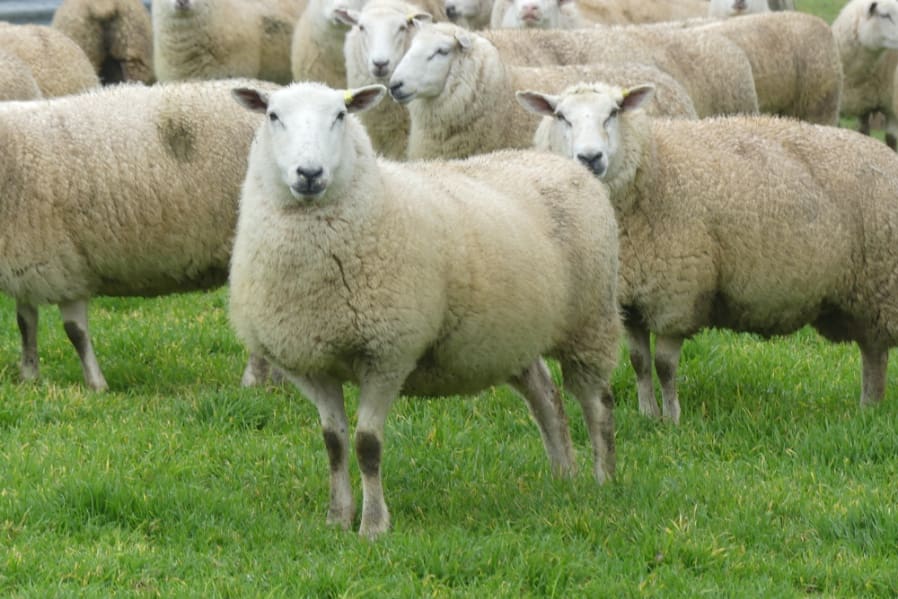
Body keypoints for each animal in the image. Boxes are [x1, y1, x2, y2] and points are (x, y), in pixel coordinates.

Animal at [0, 79, 278, 391]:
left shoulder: (65, 264)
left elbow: (75, 332)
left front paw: (96, 385)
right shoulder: (27, 261)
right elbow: (25, 323)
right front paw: (28, 377)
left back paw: (252, 382)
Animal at [229, 81, 621, 537]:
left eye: (341, 115)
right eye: (273, 115)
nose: (309, 174)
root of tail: (565, 165)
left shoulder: (388, 353)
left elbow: (366, 444)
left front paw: (373, 526)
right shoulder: (312, 362)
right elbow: (334, 443)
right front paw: (337, 518)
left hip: (590, 321)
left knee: (597, 402)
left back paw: (603, 480)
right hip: (514, 336)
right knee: (546, 397)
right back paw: (563, 476)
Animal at [518, 80, 898, 424]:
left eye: (614, 112)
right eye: (560, 116)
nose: (590, 158)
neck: (656, 170)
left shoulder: (677, 295)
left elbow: (665, 366)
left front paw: (672, 419)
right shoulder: (631, 301)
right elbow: (639, 363)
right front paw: (647, 414)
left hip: (882, 283)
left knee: (876, 352)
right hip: (866, 294)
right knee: (874, 352)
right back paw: (869, 407)